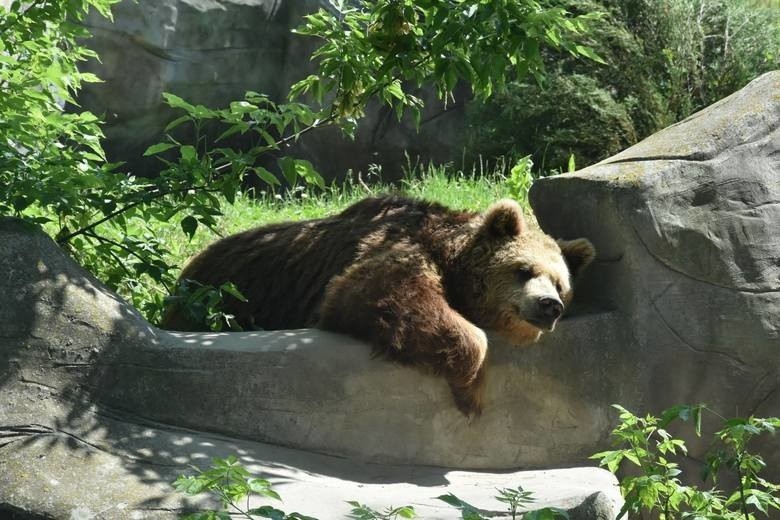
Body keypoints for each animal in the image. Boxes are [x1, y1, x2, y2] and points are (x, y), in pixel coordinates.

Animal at [161, 197, 596, 416]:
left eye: (561, 284)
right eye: (524, 270)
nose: (549, 306)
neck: (449, 255)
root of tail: (189, 266)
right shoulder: (399, 249)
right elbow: (380, 295)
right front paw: (471, 393)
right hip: (223, 294)